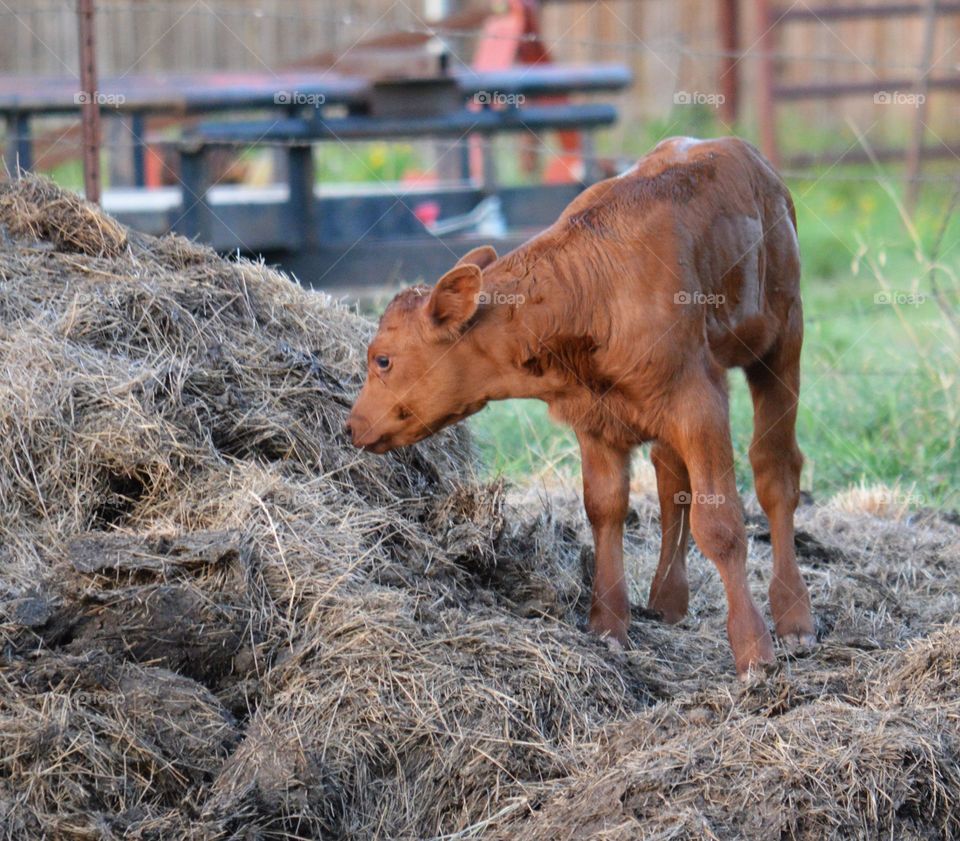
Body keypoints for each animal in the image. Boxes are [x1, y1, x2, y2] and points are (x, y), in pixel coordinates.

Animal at [344, 138, 808, 676]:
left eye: (382, 359)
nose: (351, 426)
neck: (594, 290)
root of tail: (742, 153)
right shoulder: (596, 416)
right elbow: (604, 508)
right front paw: (607, 625)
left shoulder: (698, 402)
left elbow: (719, 524)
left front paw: (754, 650)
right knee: (670, 474)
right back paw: (668, 598)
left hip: (782, 339)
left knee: (775, 470)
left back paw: (794, 615)